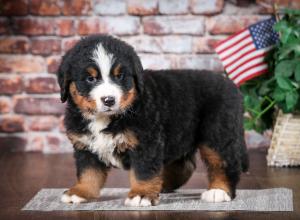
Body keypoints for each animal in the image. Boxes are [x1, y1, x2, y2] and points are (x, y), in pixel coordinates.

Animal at [57, 34, 250, 206]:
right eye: (90, 78)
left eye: (120, 76)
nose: (109, 100)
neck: (105, 118)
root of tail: (232, 86)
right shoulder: (85, 146)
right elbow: (88, 173)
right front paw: (80, 192)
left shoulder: (146, 142)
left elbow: (143, 171)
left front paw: (141, 194)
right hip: (180, 133)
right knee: (184, 165)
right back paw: (163, 184)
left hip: (217, 132)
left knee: (224, 163)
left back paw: (219, 191)